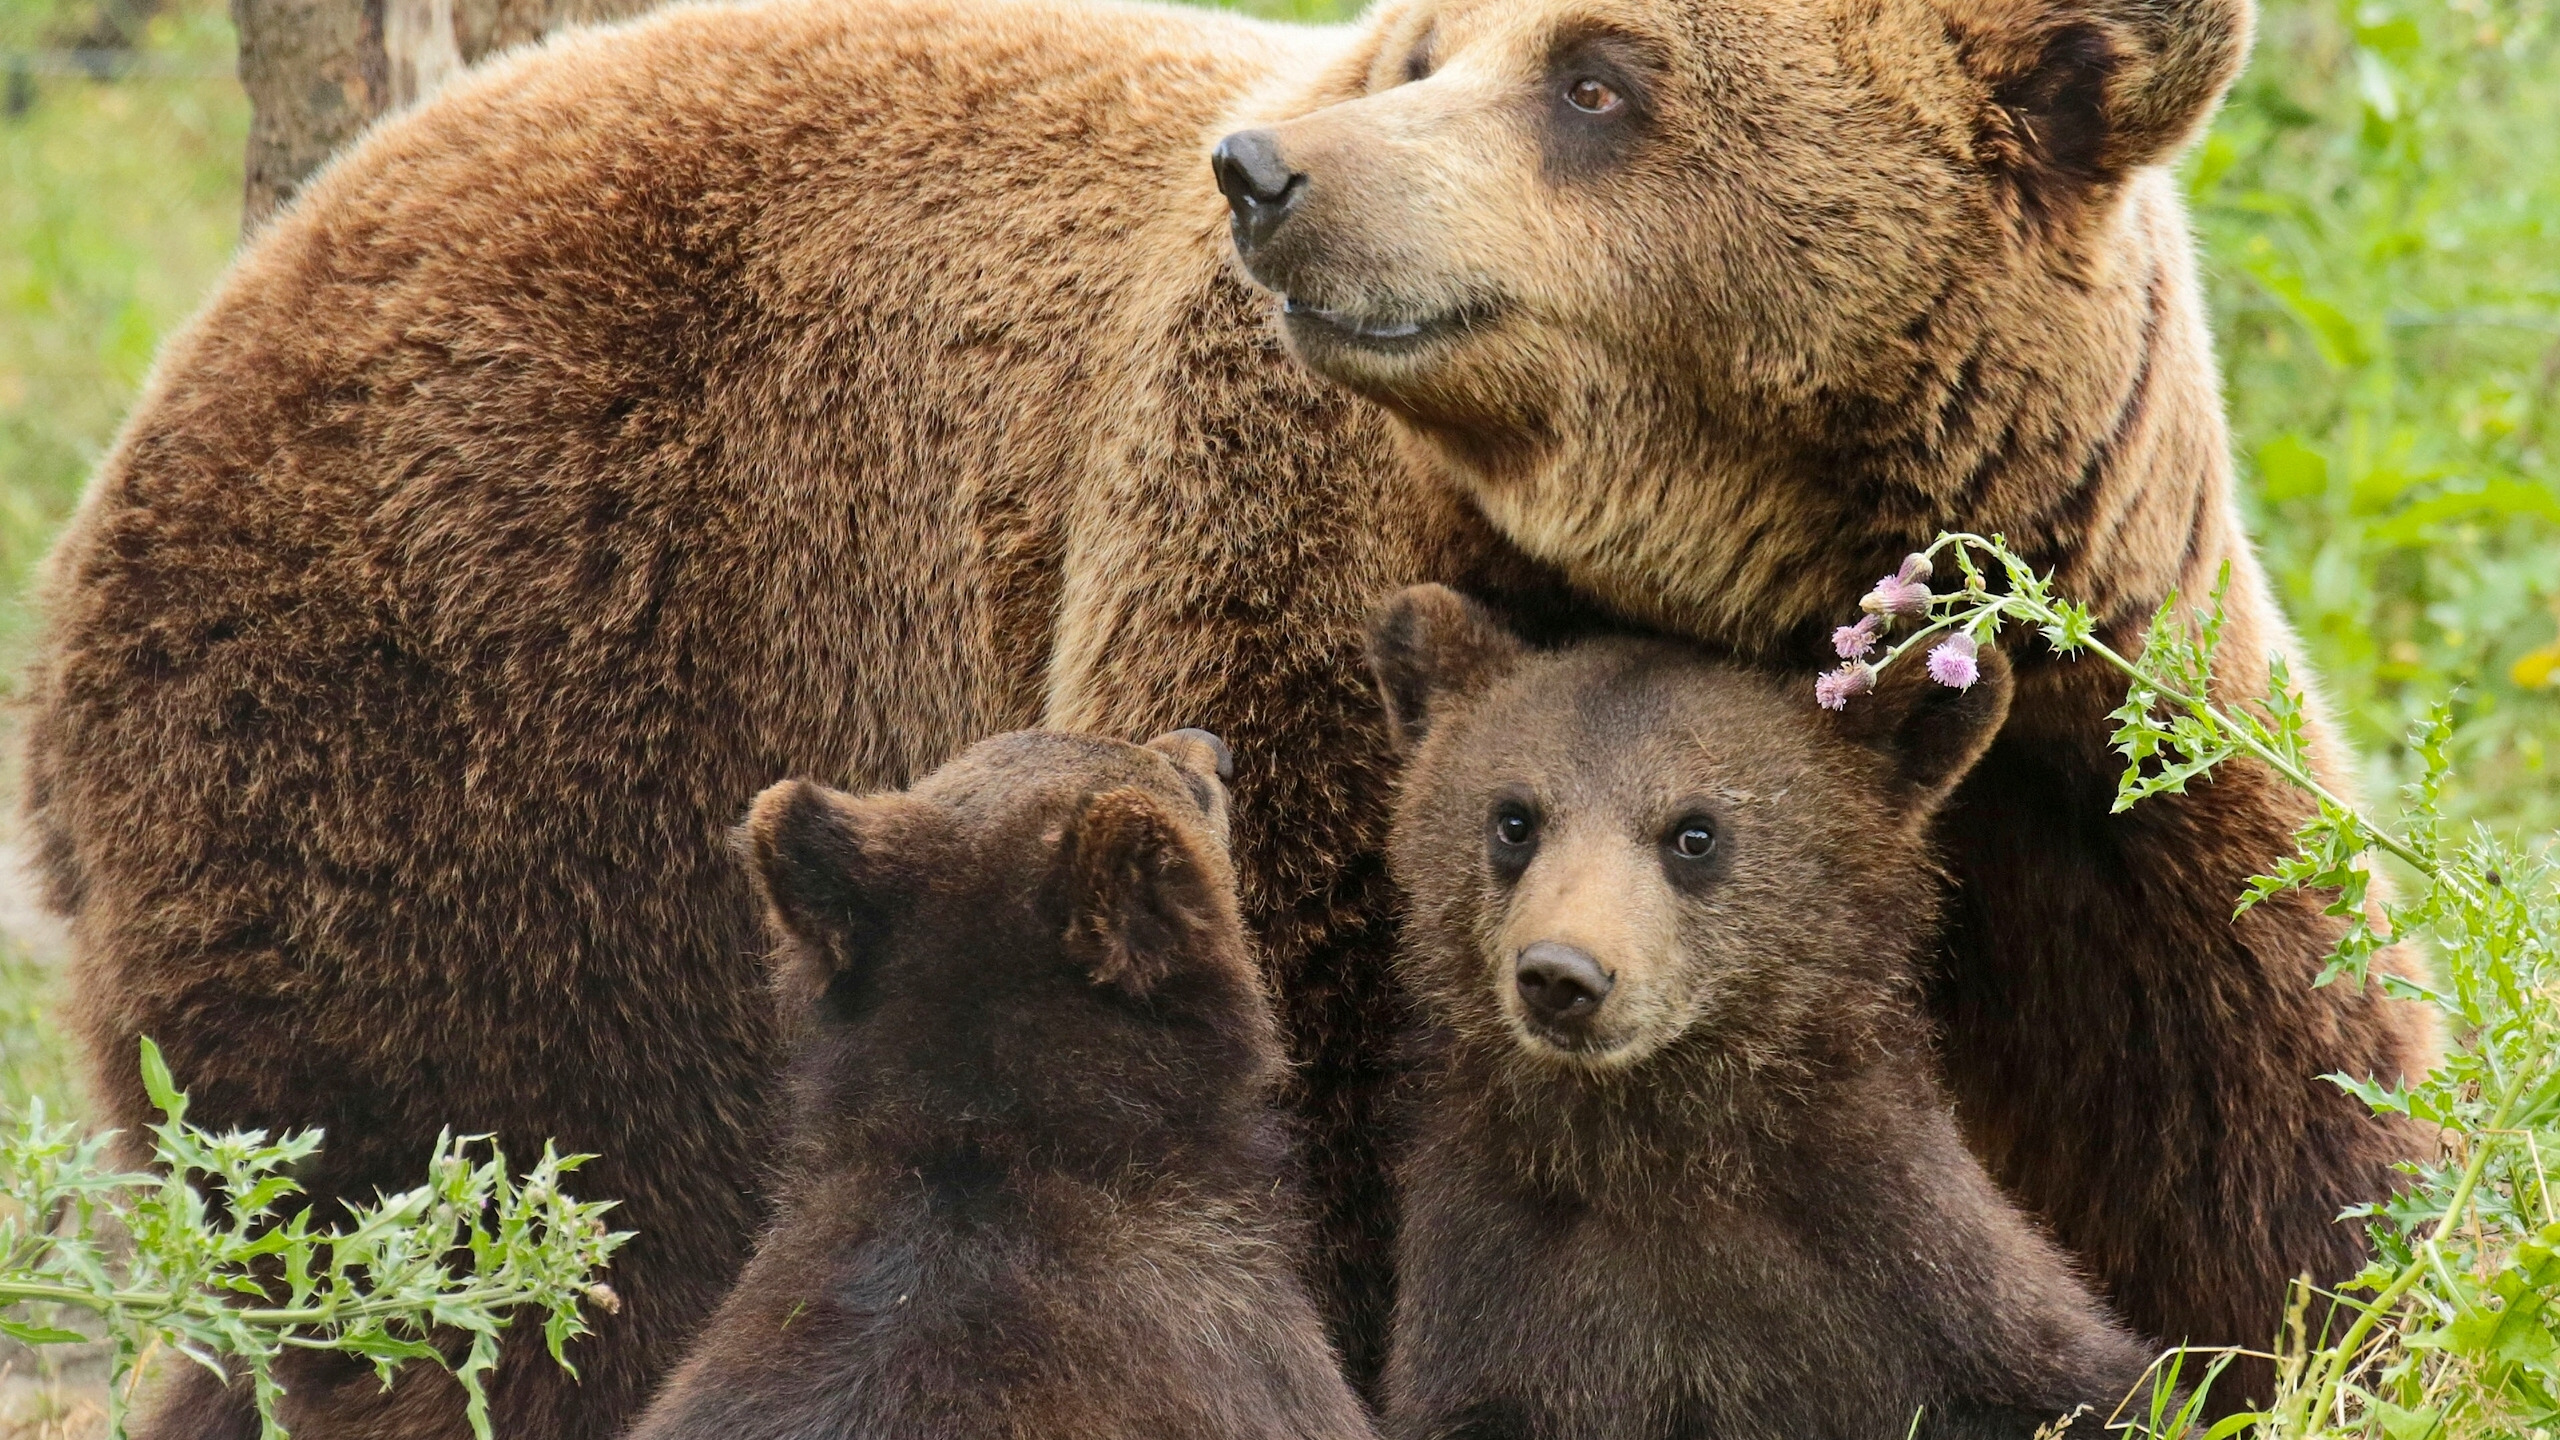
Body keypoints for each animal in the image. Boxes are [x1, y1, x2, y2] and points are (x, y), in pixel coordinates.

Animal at [20, 0, 2416, 1424]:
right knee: (497, 1236)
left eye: (1600, 73)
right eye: (1457, 36)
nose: (1270, 171)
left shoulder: (2098, 742)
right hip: (493, 754)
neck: (1761, 569)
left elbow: (2271, 1165)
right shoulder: (1305, 593)